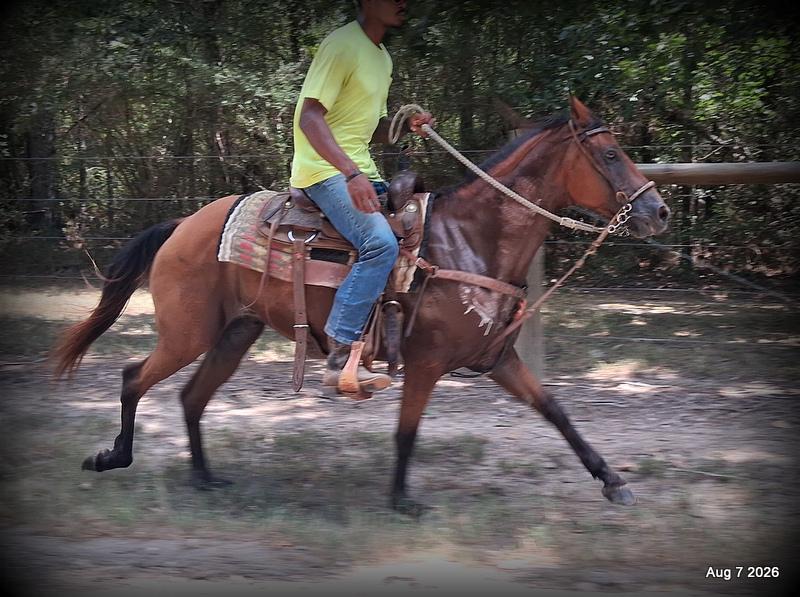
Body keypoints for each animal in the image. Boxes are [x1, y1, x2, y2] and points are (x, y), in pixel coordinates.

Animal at [53, 97, 670, 514]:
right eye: (611, 154)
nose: (659, 211)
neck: (472, 241)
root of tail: (183, 224)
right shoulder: (425, 363)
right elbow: (407, 432)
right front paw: (401, 500)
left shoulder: (498, 360)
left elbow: (557, 411)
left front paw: (613, 480)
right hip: (189, 333)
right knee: (135, 378)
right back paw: (113, 458)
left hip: (235, 333)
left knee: (190, 397)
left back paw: (205, 478)